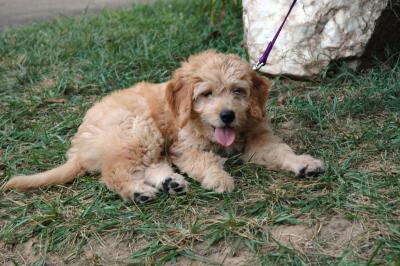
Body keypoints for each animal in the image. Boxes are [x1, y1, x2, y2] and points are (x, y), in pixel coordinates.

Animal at [2, 51, 324, 203]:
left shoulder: (259, 139)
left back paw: (170, 182)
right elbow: (204, 159)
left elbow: (280, 151)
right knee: (114, 173)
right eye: (206, 94)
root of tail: (80, 148)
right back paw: (137, 192)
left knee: (150, 165)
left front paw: (303, 163)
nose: (227, 116)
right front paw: (219, 178)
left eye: (238, 91)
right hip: (138, 128)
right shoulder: (186, 146)